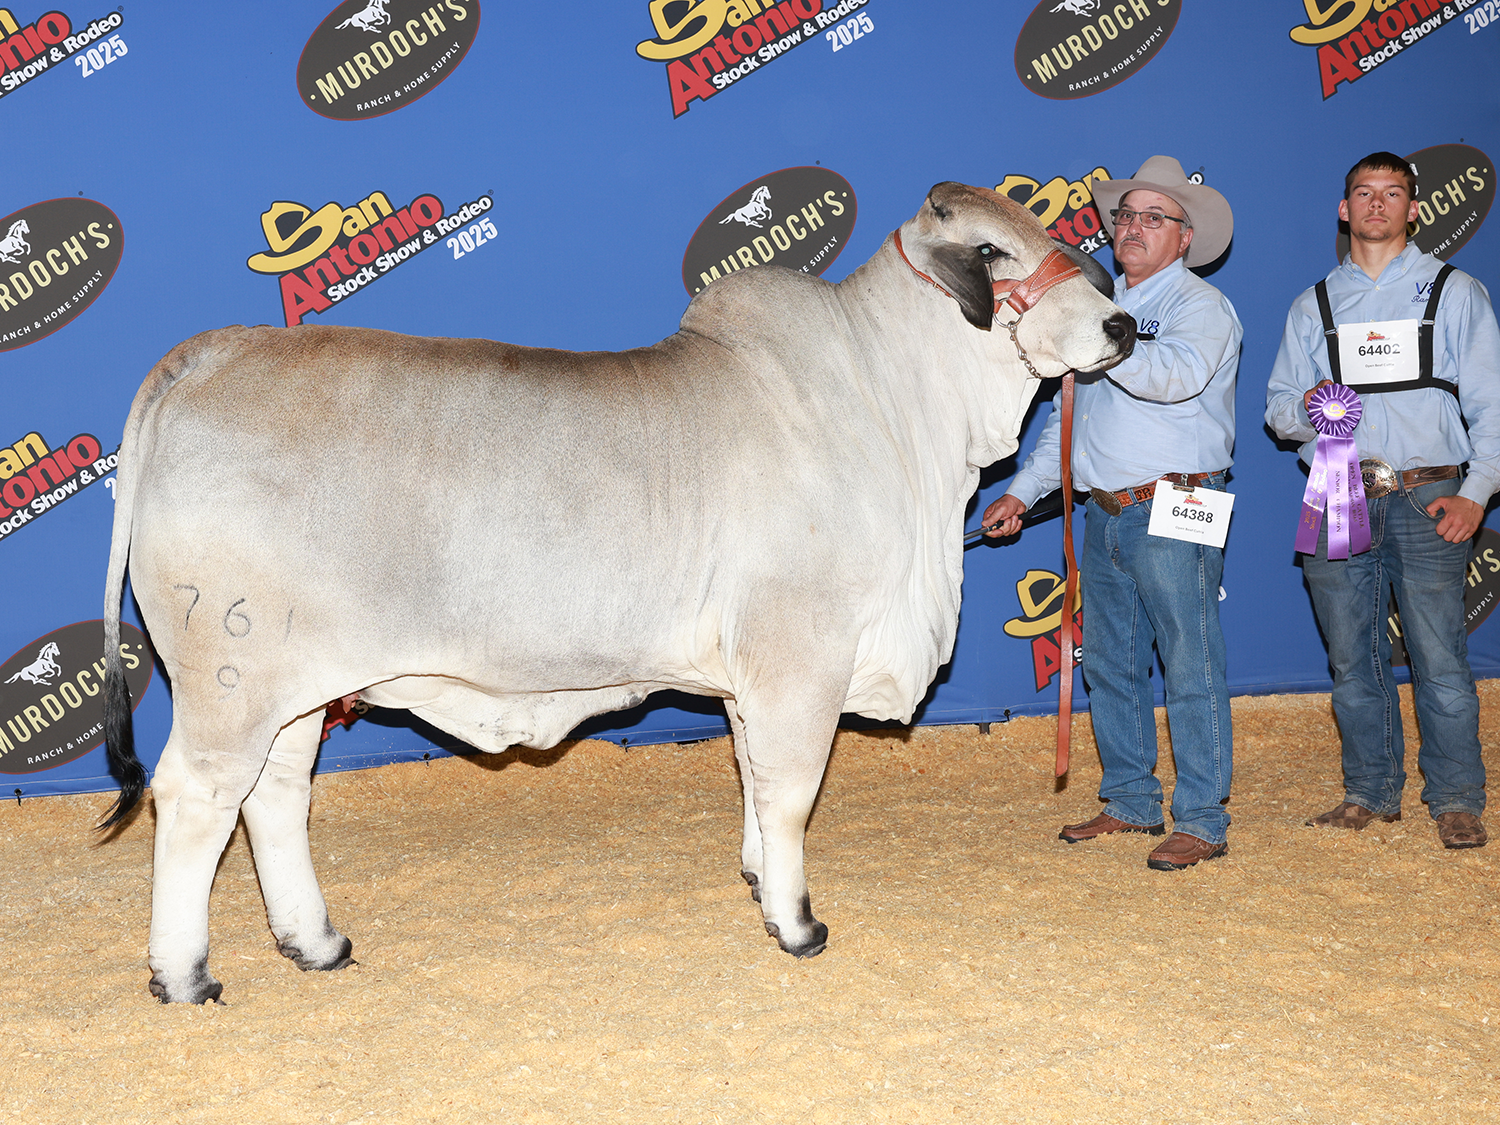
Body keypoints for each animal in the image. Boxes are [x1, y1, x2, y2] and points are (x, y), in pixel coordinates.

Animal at [102, 183, 1134, 1002]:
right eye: (992, 252)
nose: (1122, 324)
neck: (897, 413)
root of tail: (207, 356)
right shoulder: (801, 656)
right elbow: (791, 788)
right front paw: (798, 922)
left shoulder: (749, 678)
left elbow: (753, 776)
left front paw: (759, 883)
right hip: (231, 678)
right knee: (195, 798)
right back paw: (184, 974)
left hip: (296, 685)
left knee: (274, 796)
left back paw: (315, 942)